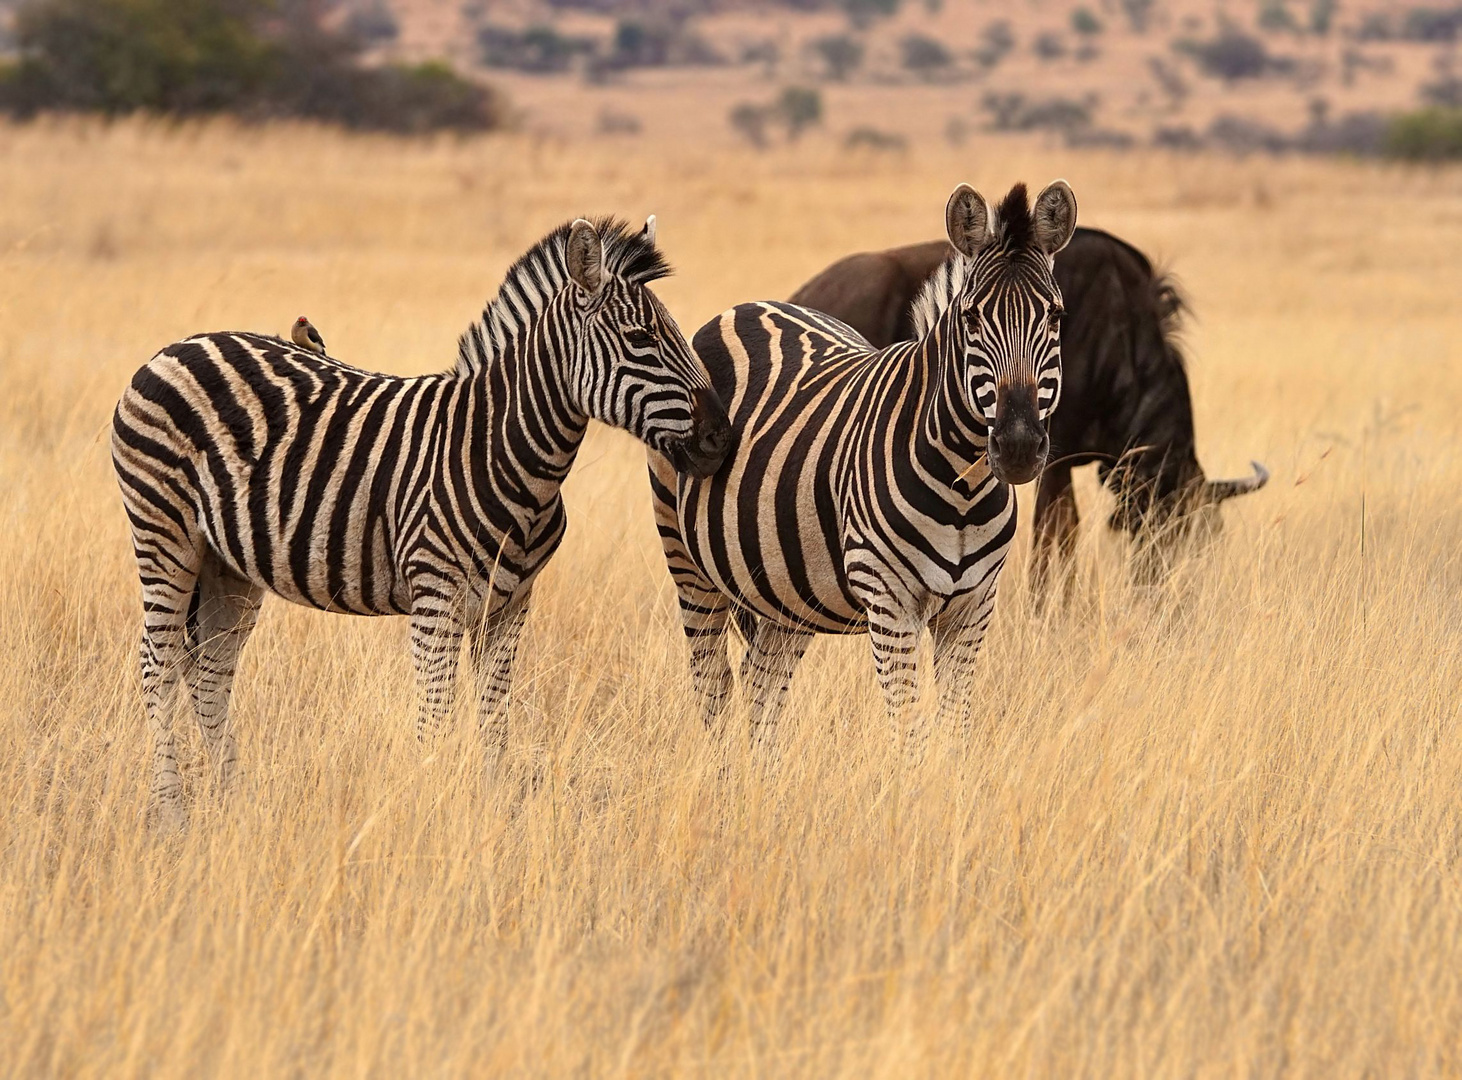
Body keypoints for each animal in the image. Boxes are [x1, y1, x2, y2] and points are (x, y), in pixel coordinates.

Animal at [114, 214, 731, 824]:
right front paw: (431, 810)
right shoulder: (435, 596)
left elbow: (493, 716)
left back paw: (233, 804)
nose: (721, 436)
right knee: (156, 664)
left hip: (228, 564)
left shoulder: (511, 604)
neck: (504, 450)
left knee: (210, 673)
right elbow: (435, 716)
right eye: (640, 339)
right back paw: (170, 809)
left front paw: (490, 810)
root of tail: (178, 346)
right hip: (165, 534)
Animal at [649, 181, 1076, 759]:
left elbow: (956, 730)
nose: (1017, 446)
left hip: (787, 588)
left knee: (762, 682)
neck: (964, 488)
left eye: (1055, 318)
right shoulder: (888, 599)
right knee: (712, 679)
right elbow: (909, 732)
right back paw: (723, 773)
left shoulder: (974, 607)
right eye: (970, 318)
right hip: (685, 557)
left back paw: (762, 778)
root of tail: (748, 306)